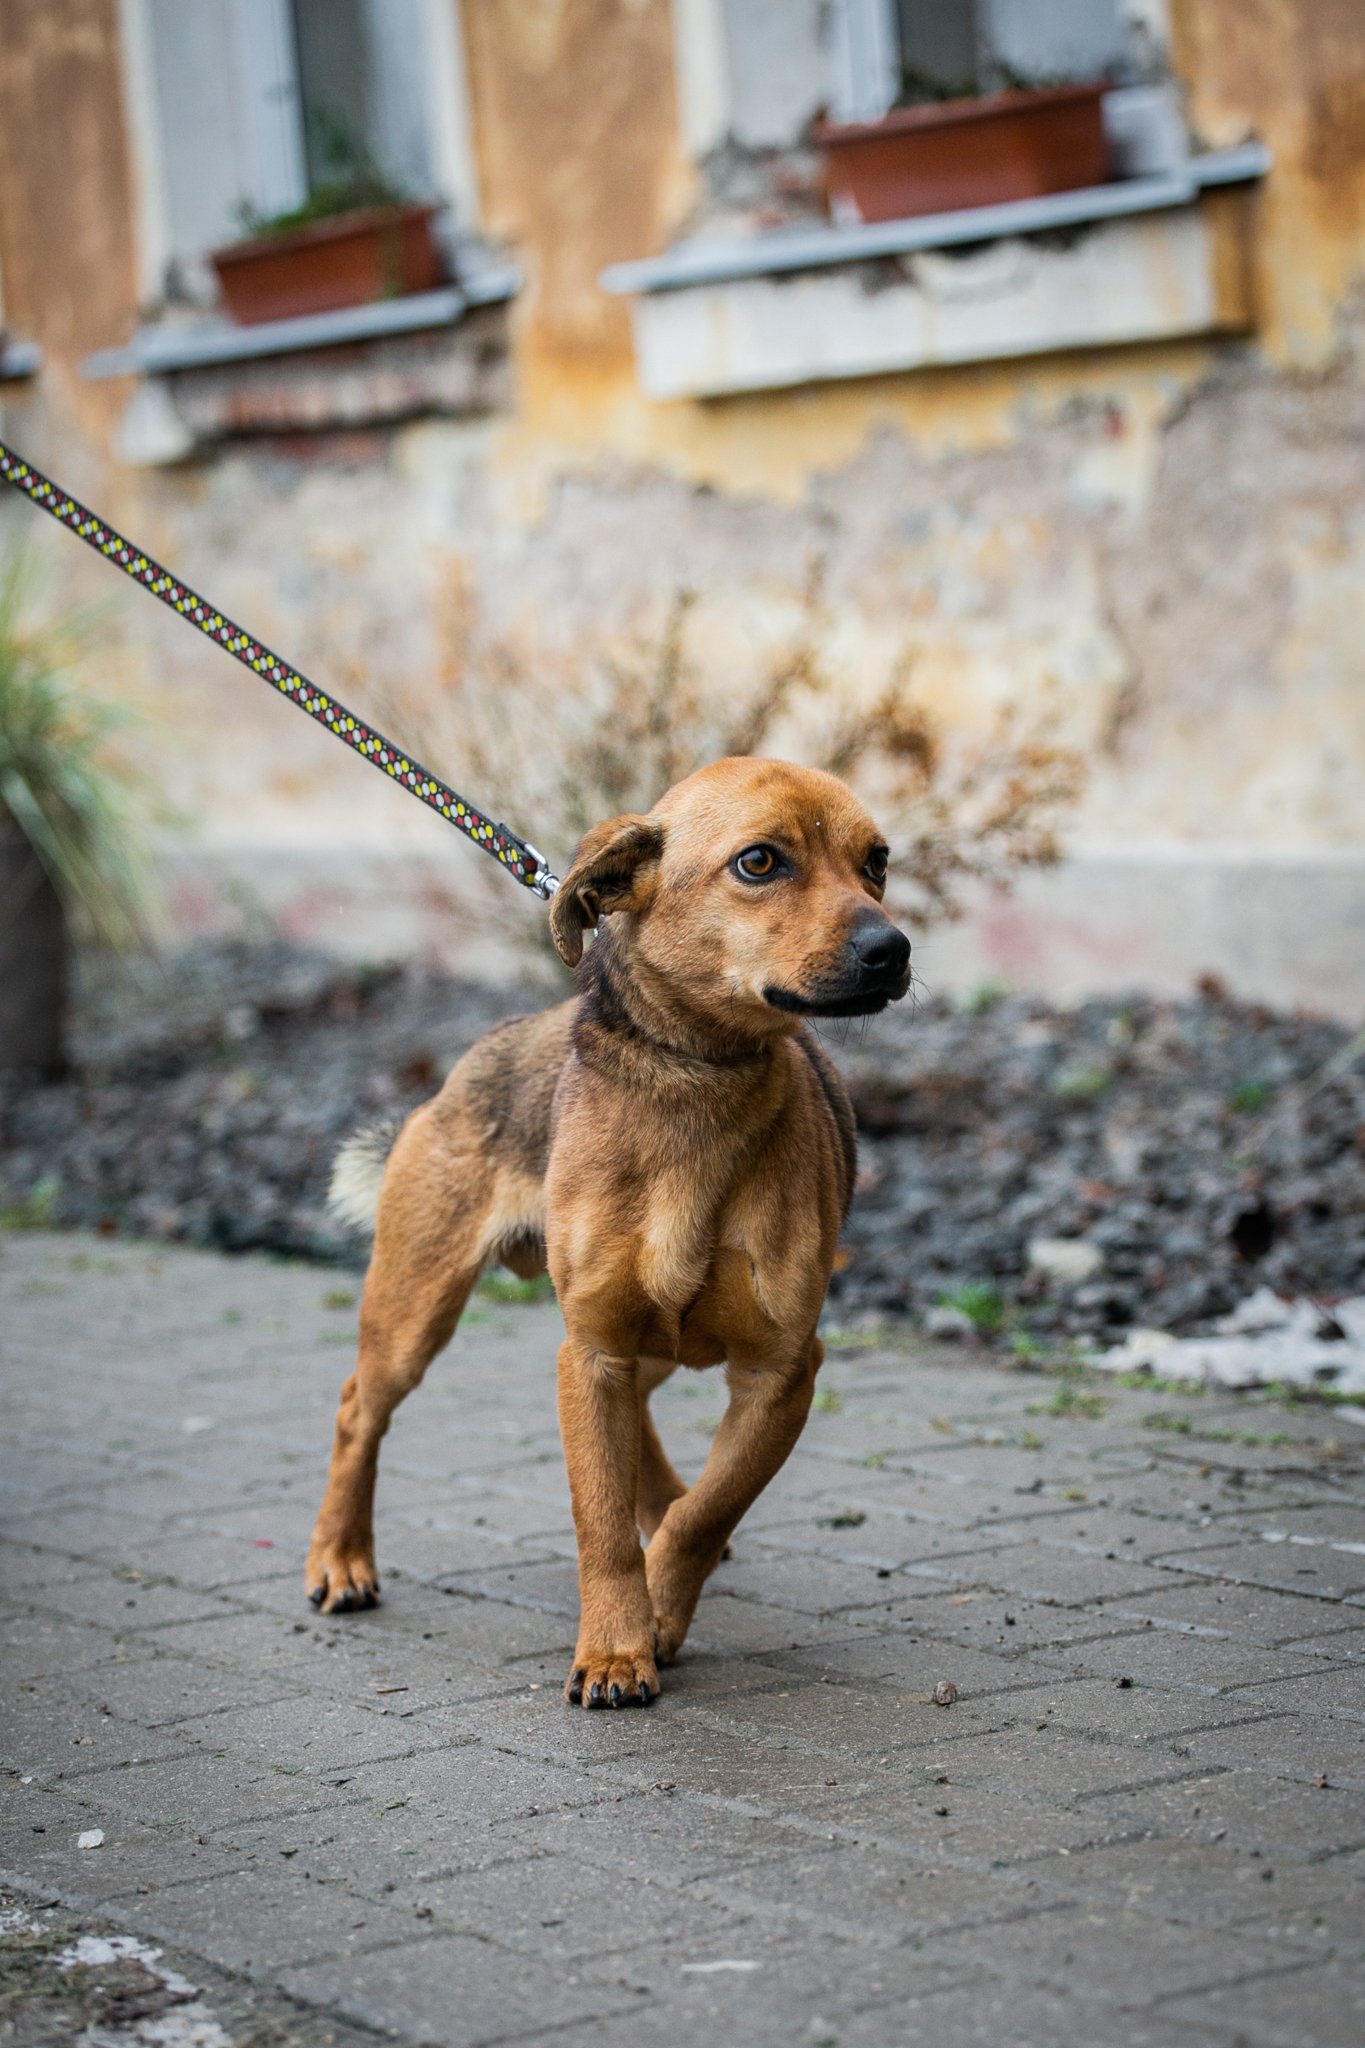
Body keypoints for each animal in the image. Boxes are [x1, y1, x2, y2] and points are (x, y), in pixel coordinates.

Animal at [306, 756, 911, 1706]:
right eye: (759, 863)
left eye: (876, 862)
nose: (893, 950)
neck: (695, 1076)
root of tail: (465, 1066)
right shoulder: (588, 1353)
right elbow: (598, 1519)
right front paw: (617, 1650)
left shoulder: (780, 1369)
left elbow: (708, 1510)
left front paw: (659, 1607)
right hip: (414, 1311)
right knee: (356, 1409)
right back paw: (340, 1559)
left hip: (647, 1341)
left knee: (652, 1433)